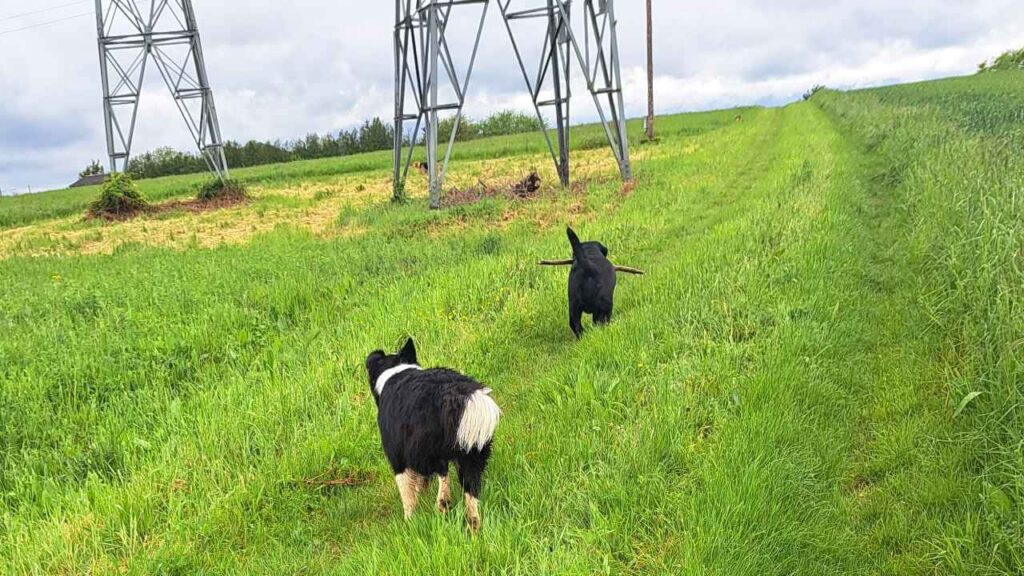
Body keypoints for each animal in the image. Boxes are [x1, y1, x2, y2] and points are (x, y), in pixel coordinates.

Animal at [364, 336, 499, 528]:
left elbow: (407, 494)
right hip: (473, 452)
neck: (395, 370)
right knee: (470, 491)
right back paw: (473, 525)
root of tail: (454, 393)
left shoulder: (398, 457)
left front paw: (409, 521)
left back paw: (443, 503)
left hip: (427, 448)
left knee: (443, 473)